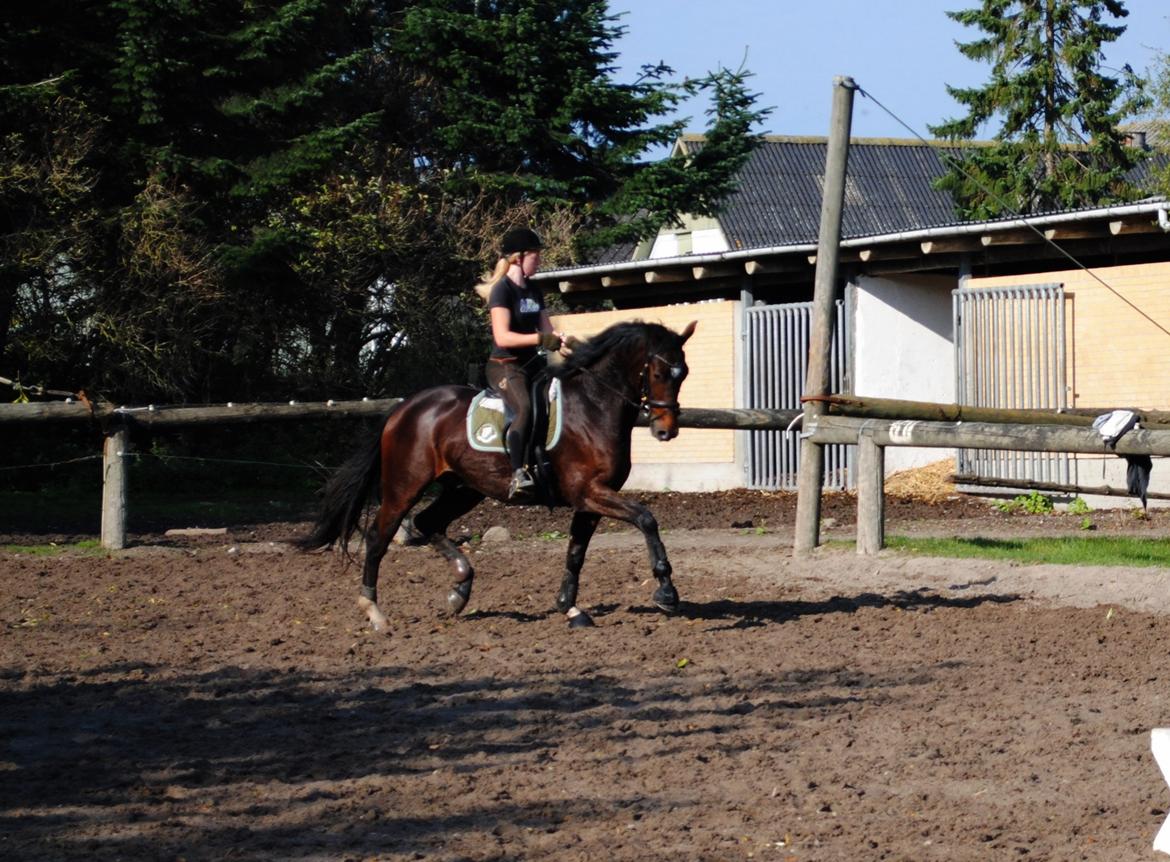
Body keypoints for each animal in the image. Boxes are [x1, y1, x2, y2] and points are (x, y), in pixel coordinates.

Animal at [297, 320, 692, 626]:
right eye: (659, 373)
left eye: (683, 374)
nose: (666, 431)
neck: (593, 406)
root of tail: (404, 408)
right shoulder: (590, 492)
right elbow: (646, 518)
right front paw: (666, 591)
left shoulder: (591, 498)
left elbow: (576, 553)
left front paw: (570, 608)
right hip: (404, 485)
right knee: (380, 537)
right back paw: (375, 611)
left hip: (464, 488)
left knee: (427, 522)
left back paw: (460, 589)